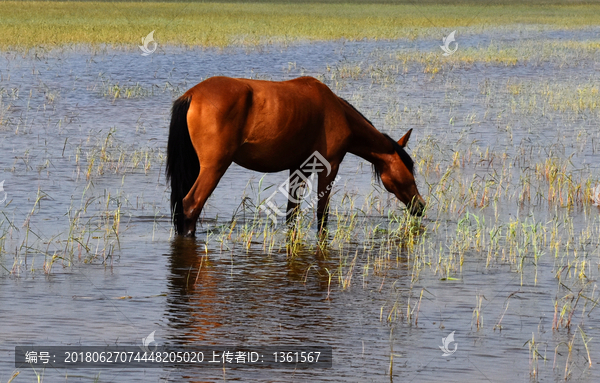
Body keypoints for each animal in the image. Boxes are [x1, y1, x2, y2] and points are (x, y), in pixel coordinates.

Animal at [166, 76, 424, 237]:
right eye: (410, 169)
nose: (420, 205)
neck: (337, 112)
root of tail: (192, 95)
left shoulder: (299, 168)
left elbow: (292, 213)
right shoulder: (330, 167)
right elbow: (322, 213)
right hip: (214, 167)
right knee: (191, 205)